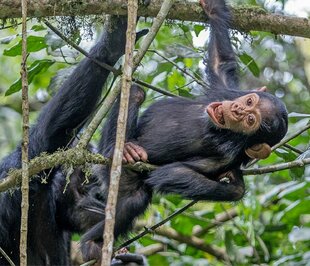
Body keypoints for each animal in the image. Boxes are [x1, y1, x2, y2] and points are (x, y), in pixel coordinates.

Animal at [78, 0, 288, 262]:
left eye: (251, 120)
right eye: (249, 102)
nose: (238, 110)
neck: (218, 129)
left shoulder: (225, 157)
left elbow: (178, 172)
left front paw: (235, 184)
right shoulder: (225, 90)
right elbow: (221, 60)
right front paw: (213, 8)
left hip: (120, 175)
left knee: (132, 201)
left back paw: (91, 243)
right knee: (136, 93)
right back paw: (126, 148)